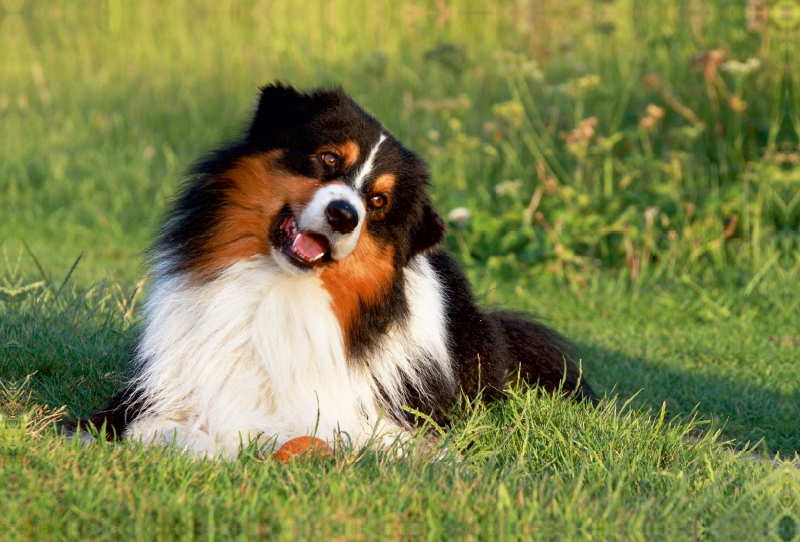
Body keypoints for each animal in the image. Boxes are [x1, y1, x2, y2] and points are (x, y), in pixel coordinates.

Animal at [73, 84, 592, 460]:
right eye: (328, 158)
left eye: (378, 201)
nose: (345, 214)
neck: (279, 288)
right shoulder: (146, 401)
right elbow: (163, 431)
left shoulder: (379, 420)